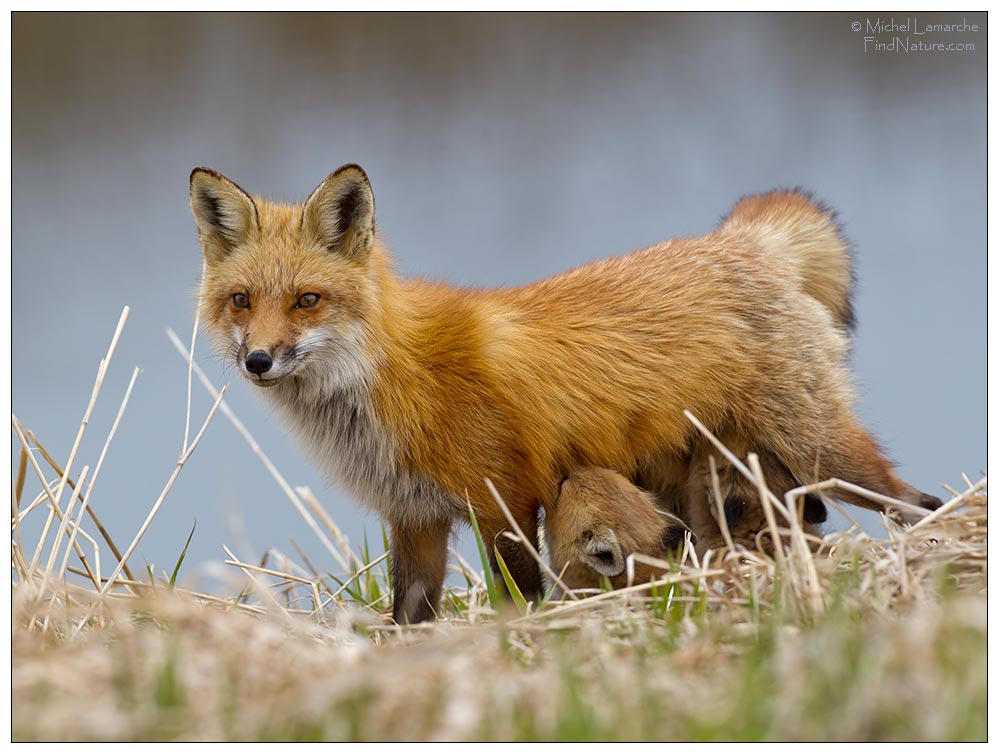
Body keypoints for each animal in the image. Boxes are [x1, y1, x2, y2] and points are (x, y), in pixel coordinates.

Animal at [189, 163, 944, 624]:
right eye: (242, 300)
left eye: (307, 300)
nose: (257, 360)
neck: (392, 381)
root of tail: (740, 242)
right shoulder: (415, 518)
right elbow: (407, 621)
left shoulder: (506, 503)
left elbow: (521, 599)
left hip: (825, 454)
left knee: (918, 502)